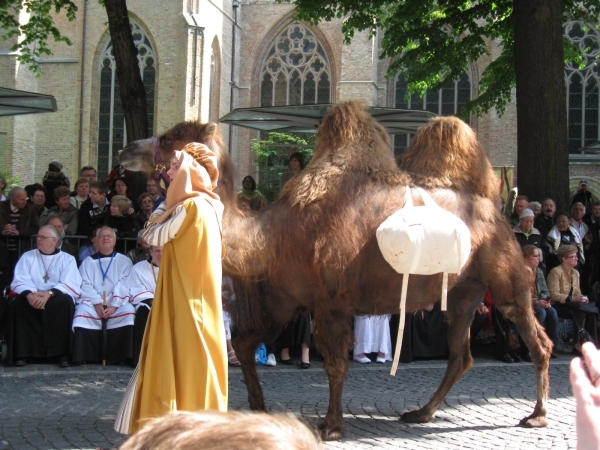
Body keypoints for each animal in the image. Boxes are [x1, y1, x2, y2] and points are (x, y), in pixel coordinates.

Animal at [118, 101, 552, 440]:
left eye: (171, 138)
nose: (125, 149)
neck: (272, 237)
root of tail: (496, 207)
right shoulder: (285, 302)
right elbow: (242, 344)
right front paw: (257, 407)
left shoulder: (329, 302)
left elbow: (334, 363)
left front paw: (330, 425)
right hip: (464, 291)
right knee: (461, 354)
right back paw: (421, 413)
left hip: (505, 276)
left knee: (535, 338)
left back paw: (537, 414)